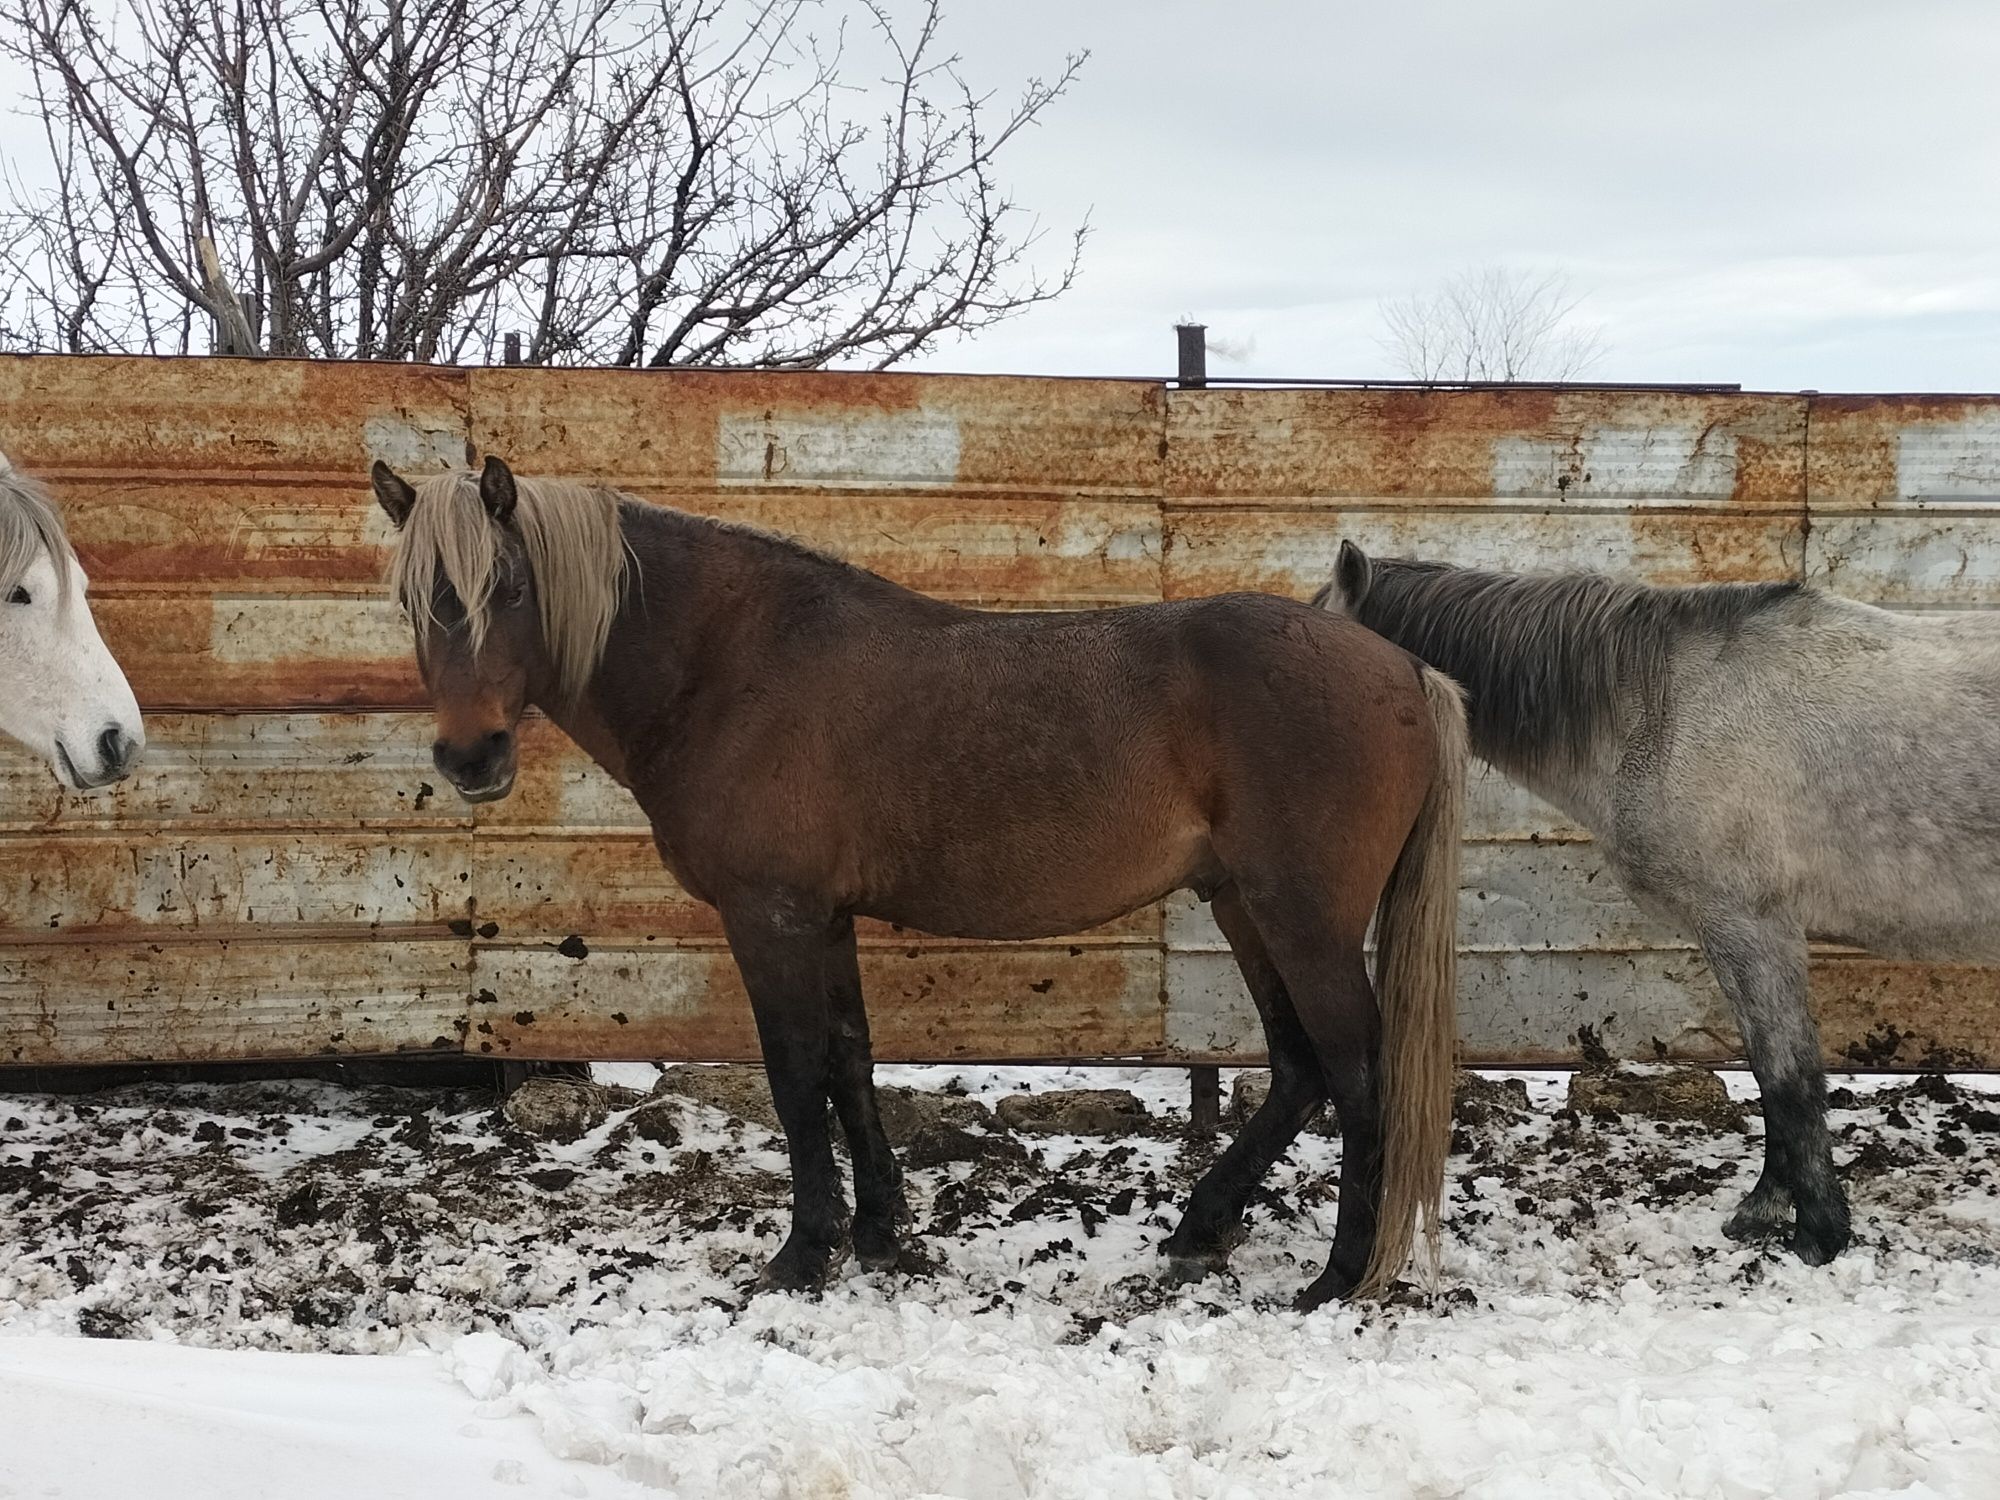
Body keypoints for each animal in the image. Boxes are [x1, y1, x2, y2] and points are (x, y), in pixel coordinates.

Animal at [376, 456, 1472, 1304]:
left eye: (510, 589)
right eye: (411, 600)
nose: (470, 757)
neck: (730, 663)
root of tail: (1401, 667)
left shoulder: (769, 917)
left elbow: (794, 1076)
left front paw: (802, 1254)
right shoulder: (822, 920)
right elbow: (850, 1065)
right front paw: (879, 1238)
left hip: (1304, 919)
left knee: (1355, 1071)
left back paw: (1339, 1276)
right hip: (1244, 904)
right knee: (1297, 1068)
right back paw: (1201, 1228)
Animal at [1312, 540, 2000, 1272]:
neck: (1661, 710)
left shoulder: (1751, 928)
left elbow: (1786, 1077)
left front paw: (1816, 1233)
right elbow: (1770, 1077)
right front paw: (1767, 1209)